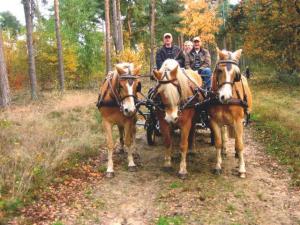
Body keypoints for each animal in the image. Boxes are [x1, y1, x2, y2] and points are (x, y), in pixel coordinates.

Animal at [209, 48, 253, 178]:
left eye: (236, 74)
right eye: (219, 70)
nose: (225, 97)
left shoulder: (238, 121)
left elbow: (239, 144)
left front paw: (242, 169)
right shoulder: (214, 121)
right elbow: (218, 143)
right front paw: (218, 166)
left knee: (239, 139)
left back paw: (237, 155)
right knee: (224, 133)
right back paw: (224, 151)